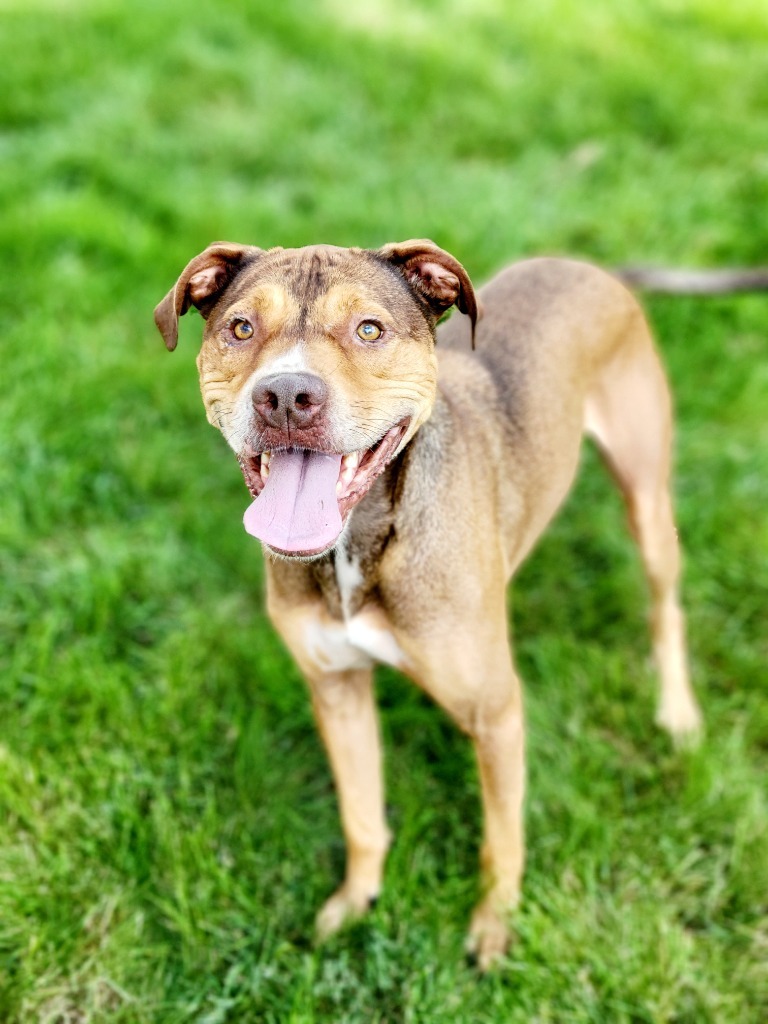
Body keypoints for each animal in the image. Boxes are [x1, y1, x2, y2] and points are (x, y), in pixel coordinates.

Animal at [154, 237, 704, 966]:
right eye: (241, 328)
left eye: (369, 330)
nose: (286, 395)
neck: (357, 541)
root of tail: (591, 266)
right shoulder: (336, 688)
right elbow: (362, 816)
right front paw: (354, 903)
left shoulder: (496, 714)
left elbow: (501, 839)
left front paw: (494, 926)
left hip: (647, 498)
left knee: (666, 607)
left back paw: (677, 713)